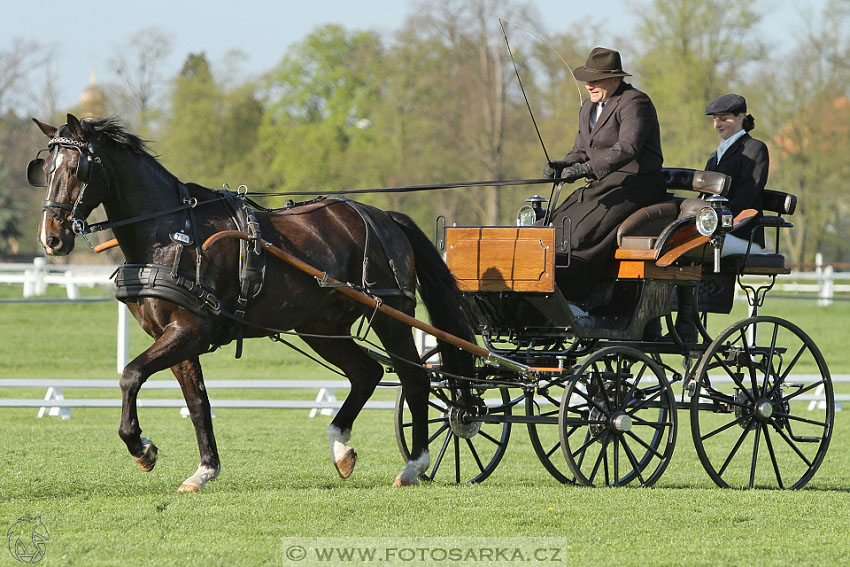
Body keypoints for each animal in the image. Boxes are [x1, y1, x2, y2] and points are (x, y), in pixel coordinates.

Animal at [29, 114, 474, 492]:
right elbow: (198, 403)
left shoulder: (188, 331)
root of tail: (383, 217)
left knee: (414, 378)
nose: (51, 238)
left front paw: (142, 448)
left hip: (390, 316)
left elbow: (131, 375)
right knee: (366, 373)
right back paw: (341, 449)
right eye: (46, 170)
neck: (173, 233)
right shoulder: (176, 337)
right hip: (321, 326)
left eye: (77, 169)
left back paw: (414, 465)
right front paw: (204, 470)